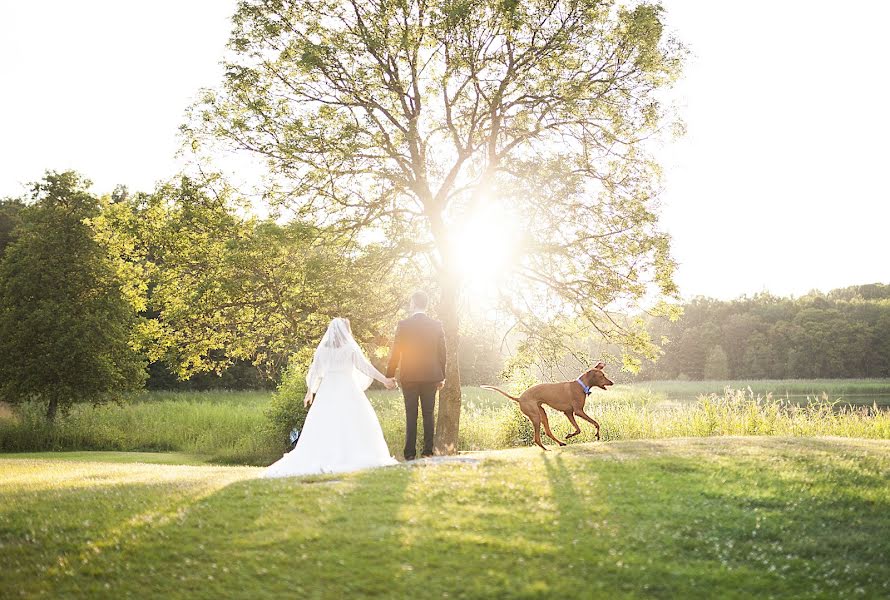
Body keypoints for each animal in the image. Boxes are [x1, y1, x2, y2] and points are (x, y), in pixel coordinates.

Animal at [482, 360, 612, 450]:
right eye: (602, 376)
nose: (612, 382)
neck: (581, 385)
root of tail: (519, 398)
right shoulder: (578, 411)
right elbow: (596, 423)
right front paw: (597, 435)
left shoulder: (569, 413)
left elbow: (578, 429)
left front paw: (569, 435)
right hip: (535, 417)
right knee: (536, 438)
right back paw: (545, 449)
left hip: (542, 413)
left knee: (548, 432)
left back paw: (560, 443)